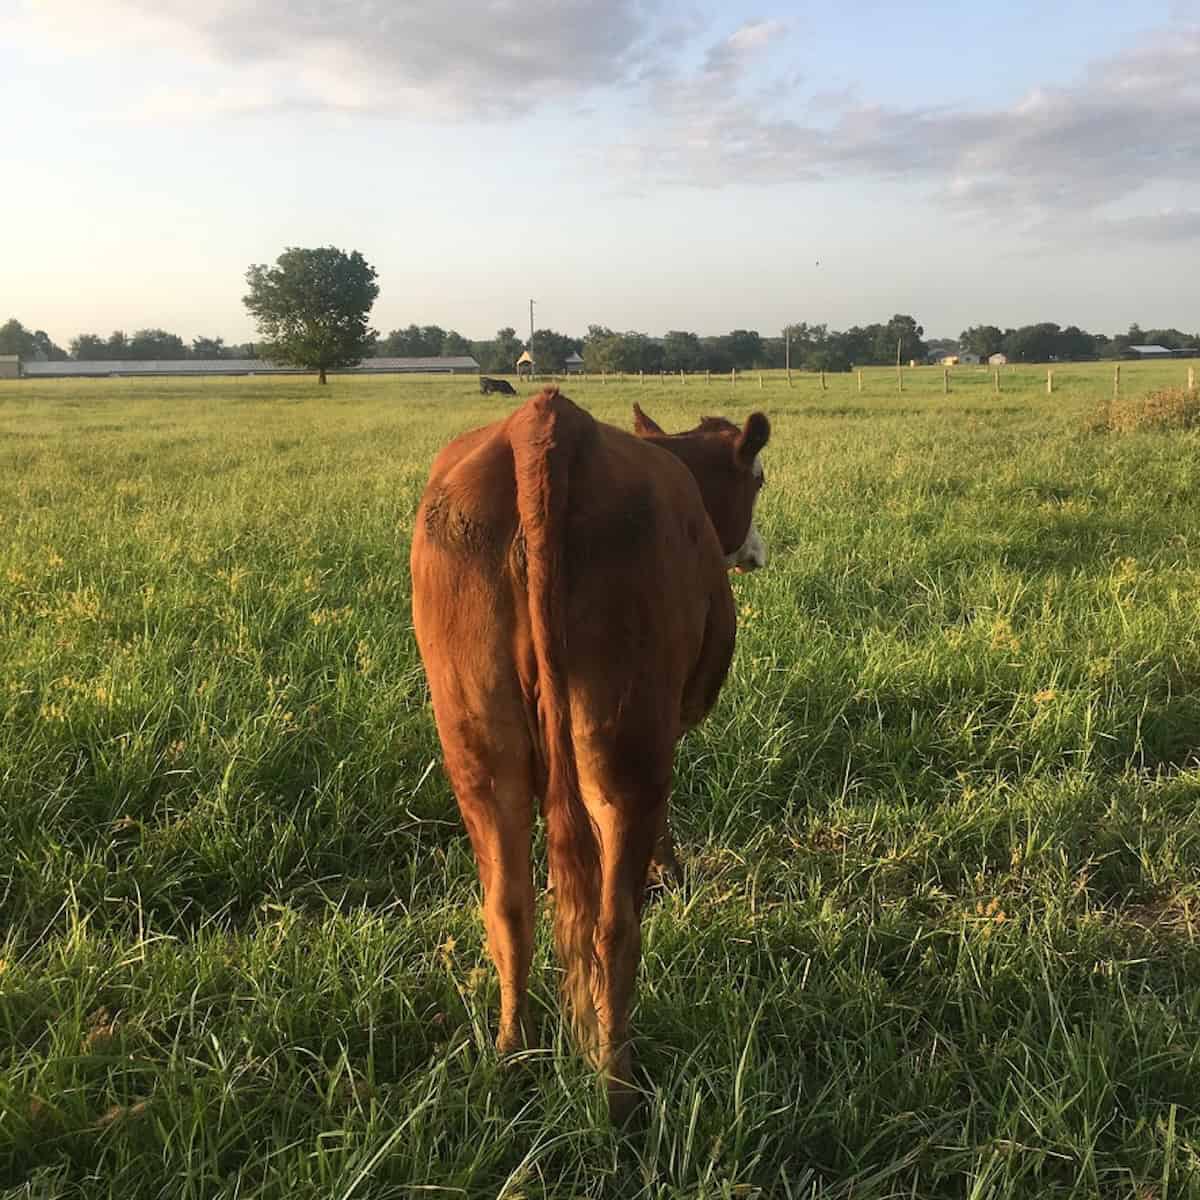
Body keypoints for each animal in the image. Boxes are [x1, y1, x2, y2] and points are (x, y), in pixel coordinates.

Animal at [410, 386, 769, 1120]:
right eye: (759, 478)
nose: (757, 549)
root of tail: (545, 420)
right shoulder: (672, 724)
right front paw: (673, 875)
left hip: (477, 741)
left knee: (508, 905)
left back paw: (511, 1057)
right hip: (626, 747)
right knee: (614, 927)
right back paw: (617, 1090)